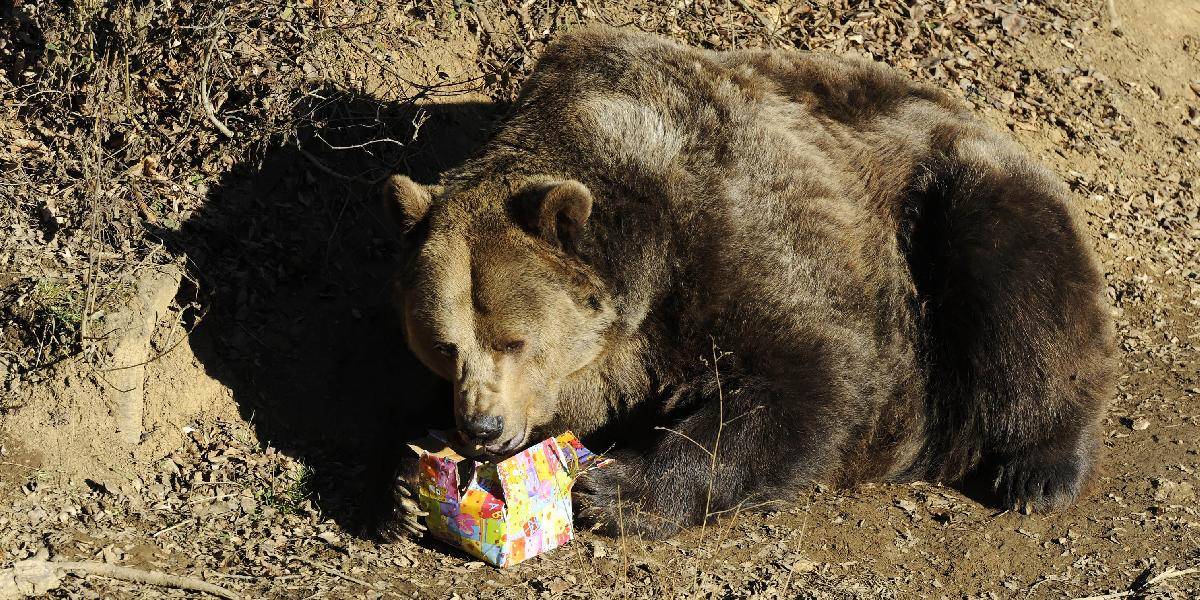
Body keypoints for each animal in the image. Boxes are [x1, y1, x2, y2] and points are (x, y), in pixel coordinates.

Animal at [376, 25, 1113, 542]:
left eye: (515, 340)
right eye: (443, 346)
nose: (484, 425)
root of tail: (989, 120)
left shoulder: (736, 233)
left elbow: (809, 375)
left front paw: (616, 490)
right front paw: (412, 489)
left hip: (960, 199)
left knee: (1016, 289)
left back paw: (1038, 470)